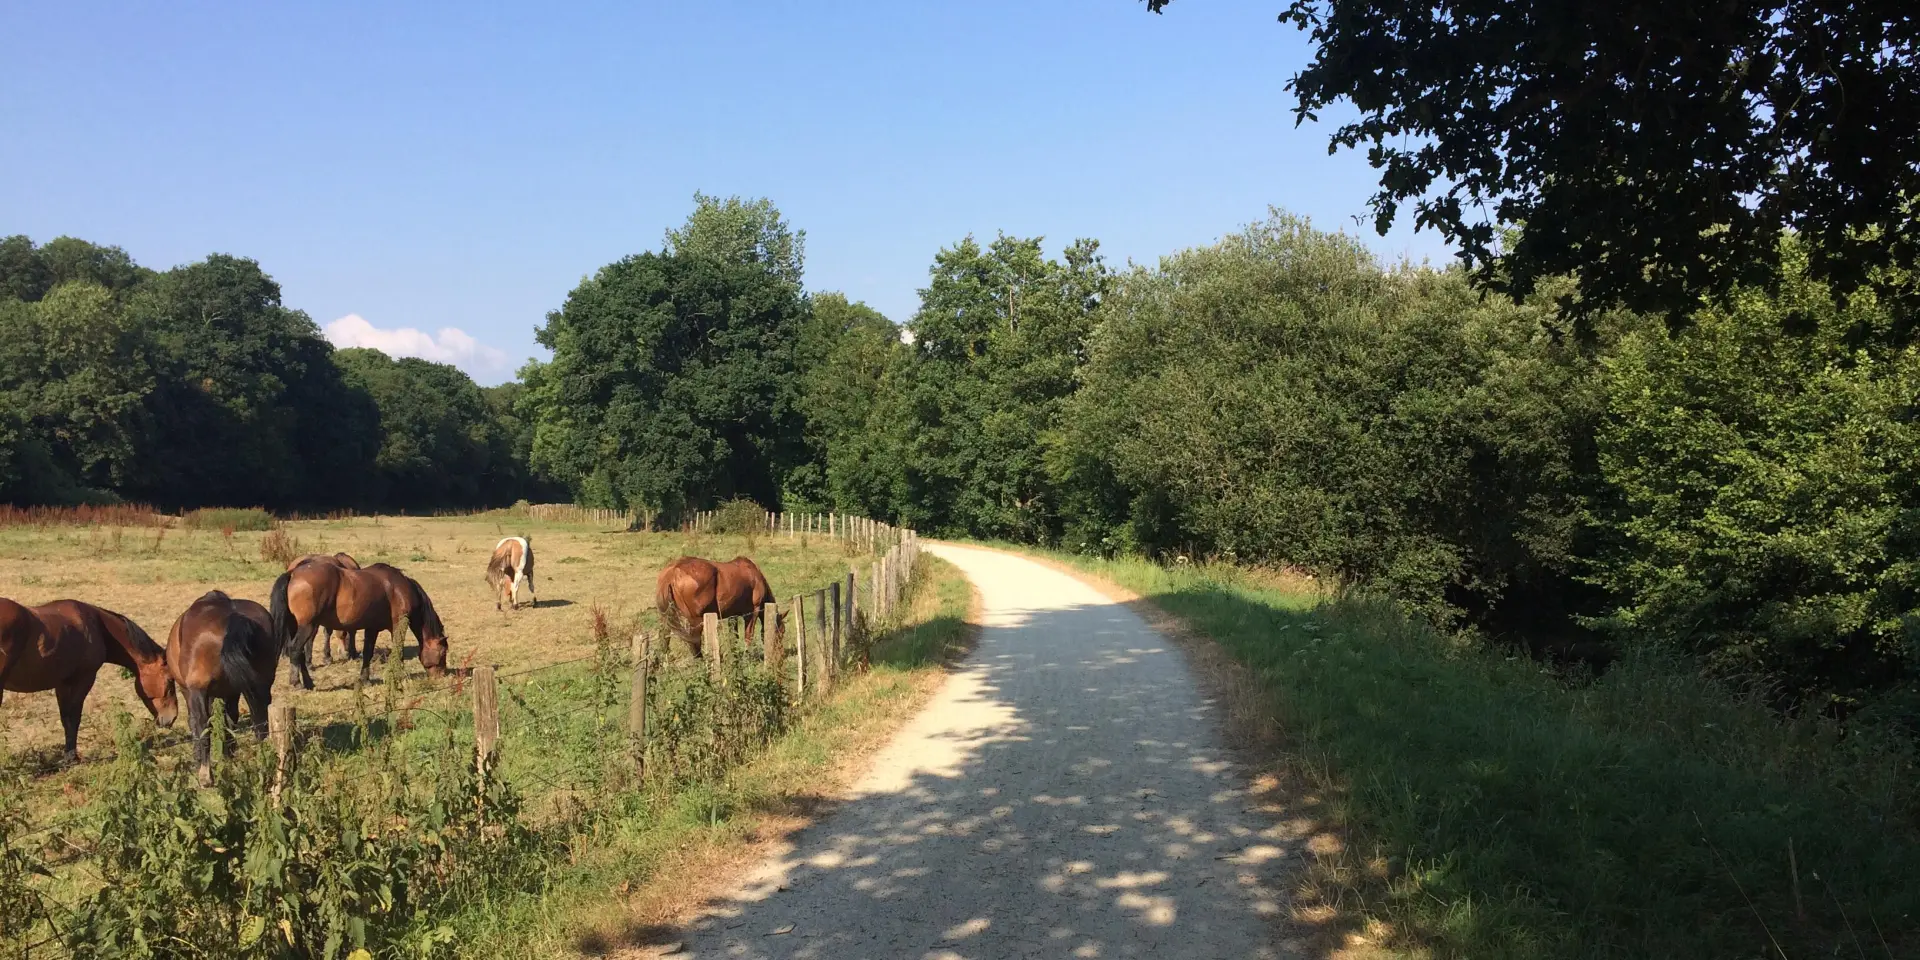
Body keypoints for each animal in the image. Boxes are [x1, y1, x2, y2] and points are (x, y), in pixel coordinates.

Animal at [0, 597, 177, 763]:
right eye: (169, 681)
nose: (172, 718)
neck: (97, 626)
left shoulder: (63, 684)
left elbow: (66, 718)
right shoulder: (84, 679)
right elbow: (74, 718)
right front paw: (72, 757)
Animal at [167, 591, 278, 786]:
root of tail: (233, 616)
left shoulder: (191, 691)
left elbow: (197, 722)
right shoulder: (231, 692)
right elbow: (229, 719)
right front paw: (228, 756)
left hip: (198, 689)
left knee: (202, 722)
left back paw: (205, 774)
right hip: (258, 685)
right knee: (260, 720)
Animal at [270, 559, 449, 688]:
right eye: (443, 653)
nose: (442, 675)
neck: (398, 588)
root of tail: (293, 574)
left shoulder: (372, 628)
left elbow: (368, 653)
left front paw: (365, 679)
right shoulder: (398, 626)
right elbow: (398, 652)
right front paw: (401, 677)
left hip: (296, 627)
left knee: (299, 653)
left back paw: (308, 683)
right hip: (307, 626)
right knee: (295, 650)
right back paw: (296, 683)